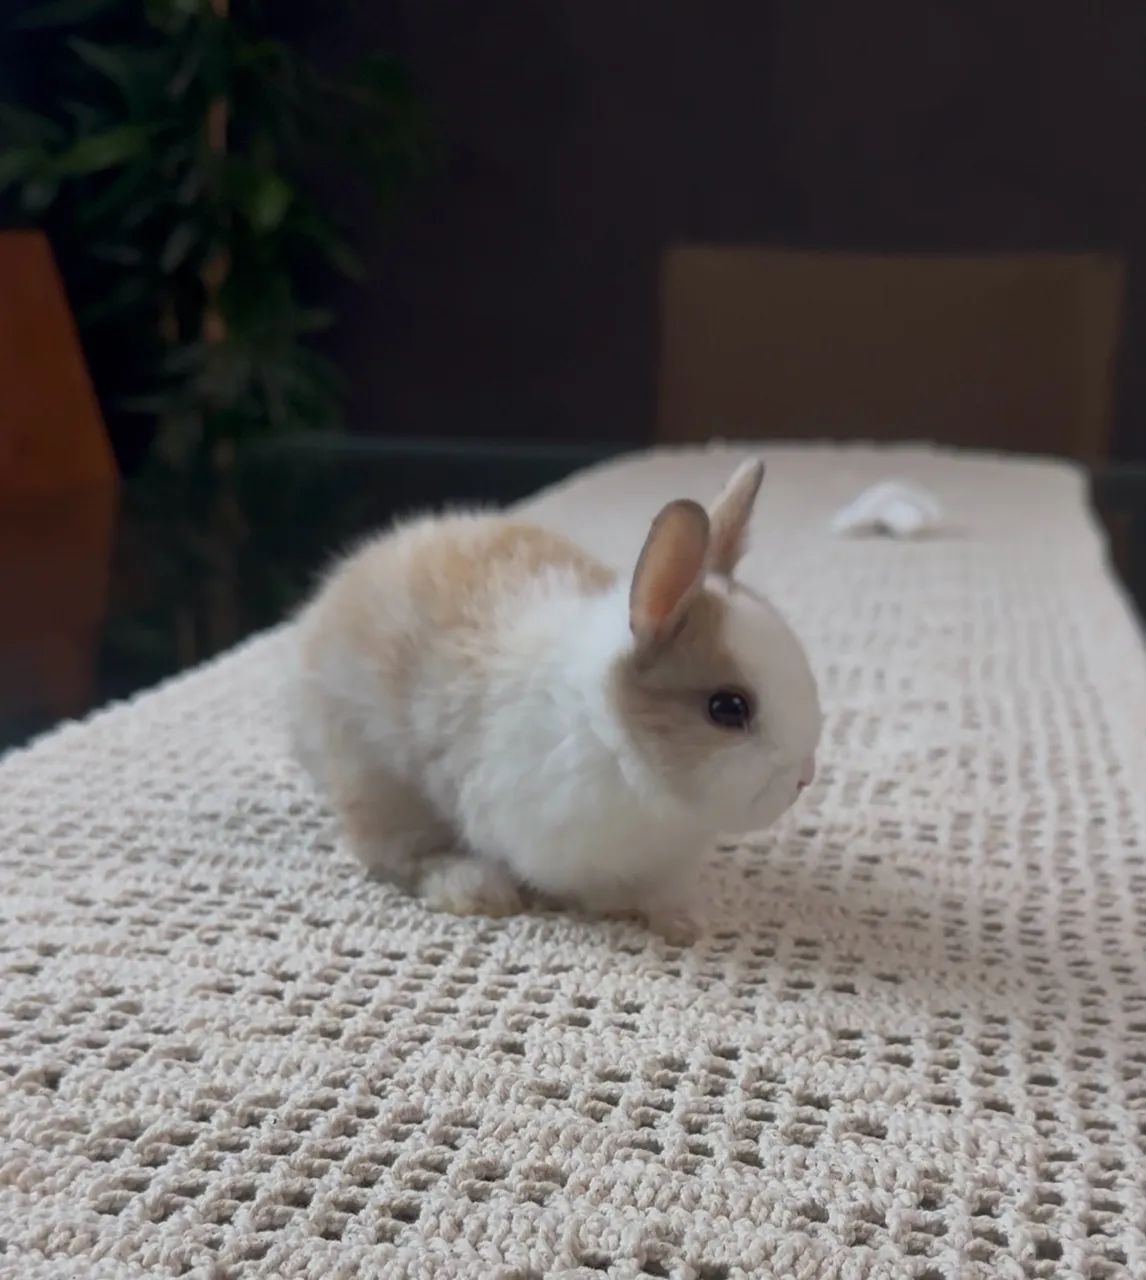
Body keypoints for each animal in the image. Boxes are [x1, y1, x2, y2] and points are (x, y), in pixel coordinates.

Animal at [289, 459, 822, 943]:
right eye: (728, 709)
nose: (805, 777)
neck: (614, 735)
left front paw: (685, 922)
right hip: (378, 780)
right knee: (390, 853)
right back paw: (476, 887)